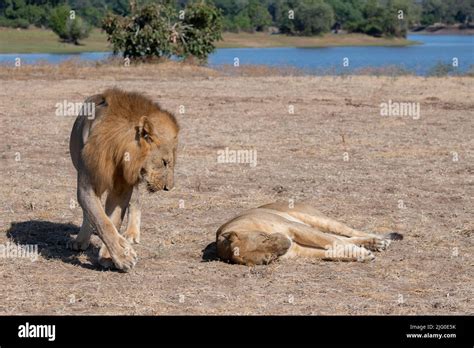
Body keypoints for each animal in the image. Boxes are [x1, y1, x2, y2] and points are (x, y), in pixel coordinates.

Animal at [67, 87, 178, 272]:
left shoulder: (124, 186)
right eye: (165, 162)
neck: (118, 151)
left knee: (135, 202)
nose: (168, 188)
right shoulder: (86, 184)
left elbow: (114, 220)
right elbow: (101, 220)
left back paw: (132, 234)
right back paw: (81, 240)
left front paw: (112, 256)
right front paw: (123, 256)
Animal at [217, 203, 402, 266]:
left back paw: (380, 241)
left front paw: (362, 253)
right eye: (268, 258)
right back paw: (376, 244)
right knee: (345, 237)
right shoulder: (300, 251)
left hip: (314, 220)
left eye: (263, 237)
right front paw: (362, 255)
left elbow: (334, 242)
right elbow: (331, 252)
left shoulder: (294, 228)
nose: (287, 244)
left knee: (348, 232)